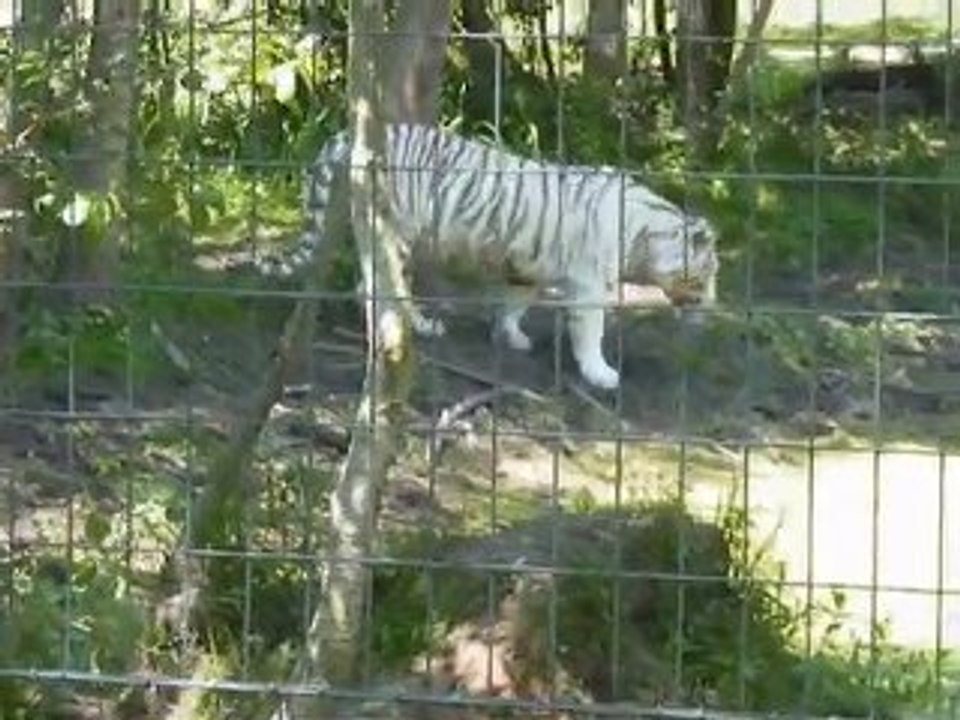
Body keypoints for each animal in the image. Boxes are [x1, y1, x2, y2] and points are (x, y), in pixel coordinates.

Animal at [271, 123, 719, 390]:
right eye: (707, 274)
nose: (713, 305)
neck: (643, 234)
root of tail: (346, 136)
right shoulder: (589, 286)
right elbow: (590, 332)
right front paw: (601, 374)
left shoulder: (526, 271)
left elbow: (514, 304)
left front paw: (511, 338)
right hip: (396, 233)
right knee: (379, 286)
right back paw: (418, 328)